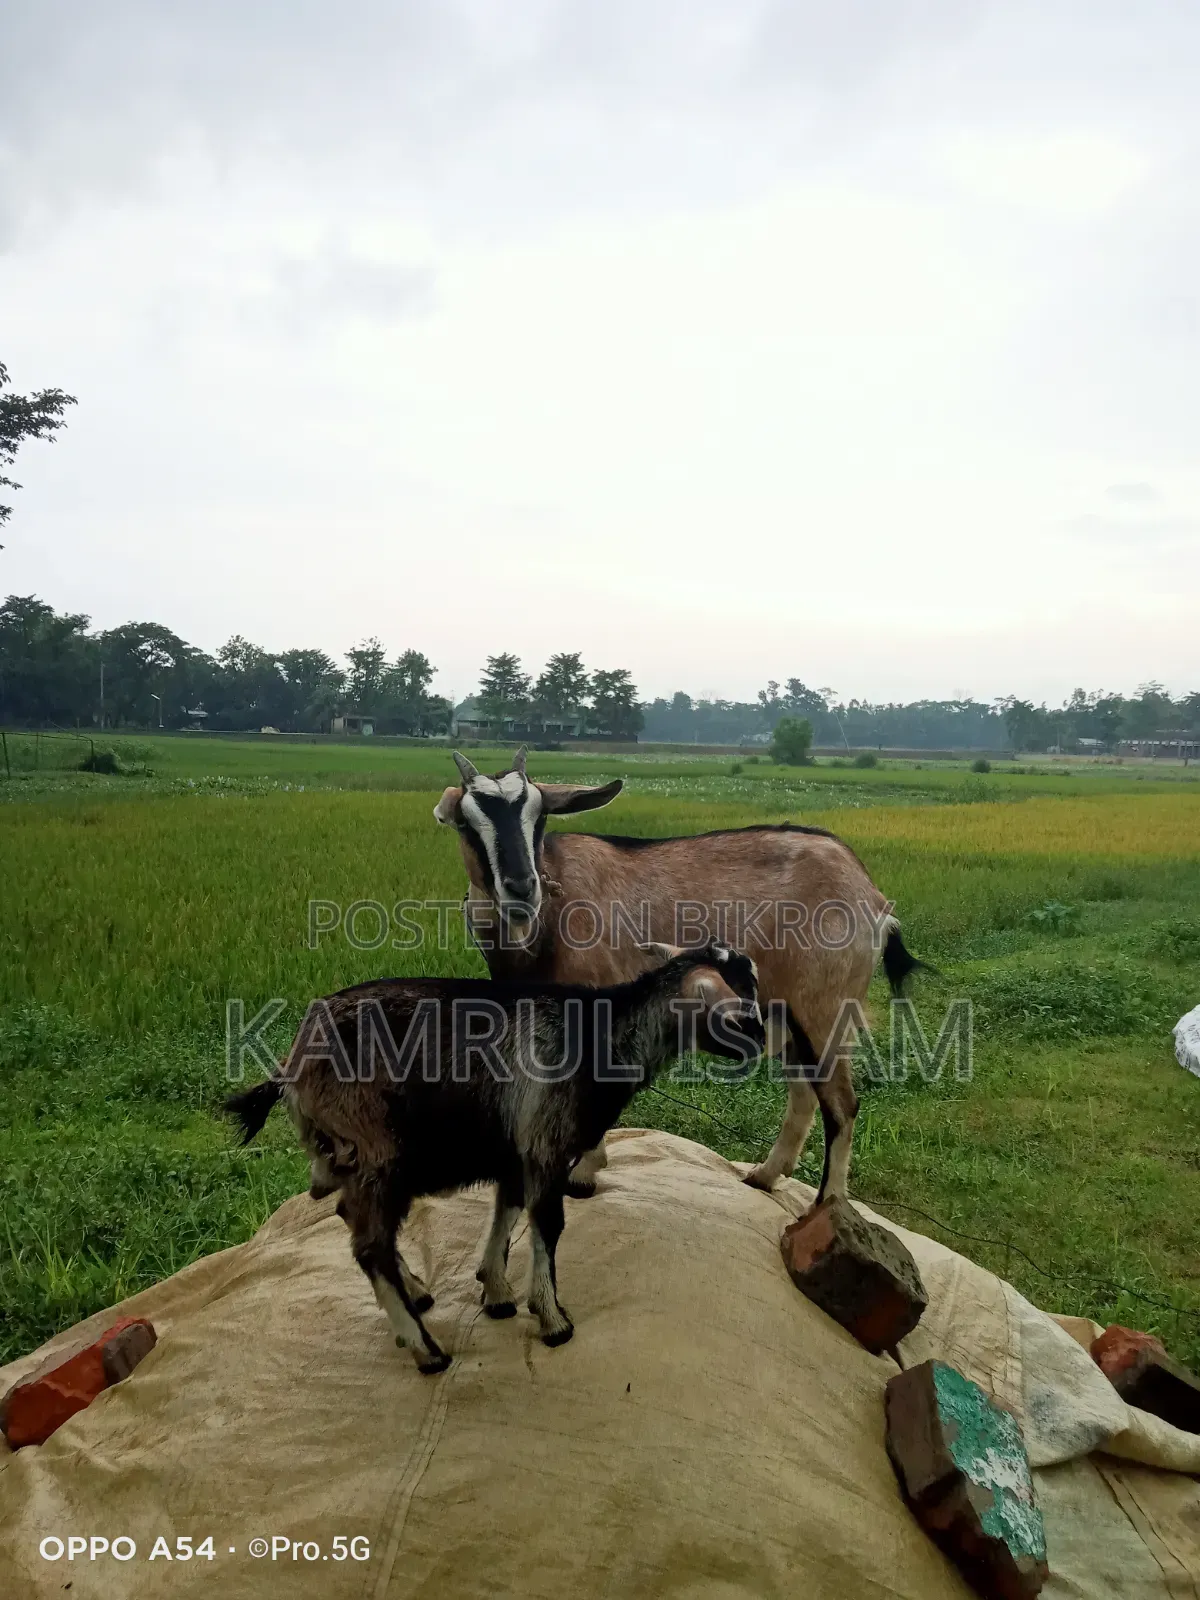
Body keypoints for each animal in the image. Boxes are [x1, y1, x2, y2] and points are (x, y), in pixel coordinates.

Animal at [225, 945, 764, 1374]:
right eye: (741, 1003)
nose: (762, 1041)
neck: (602, 1035)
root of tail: (291, 1067)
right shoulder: (546, 1144)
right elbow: (547, 1223)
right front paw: (552, 1319)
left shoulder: (516, 1148)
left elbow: (507, 1208)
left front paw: (497, 1291)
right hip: (377, 1152)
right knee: (370, 1246)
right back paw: (427, 1349)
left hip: (351, 1157)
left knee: (347, 1215)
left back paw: (416, 1290)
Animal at [434, 748, 924, 1205]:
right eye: (465, 823)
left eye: (539, 818)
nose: (521, 888)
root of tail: (872, 897)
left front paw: (584, 1173)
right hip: (788, 1013)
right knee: (803, 1093)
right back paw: (765, 1177)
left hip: (826, 1010)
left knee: (841, 1104)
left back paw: (827, 1206)